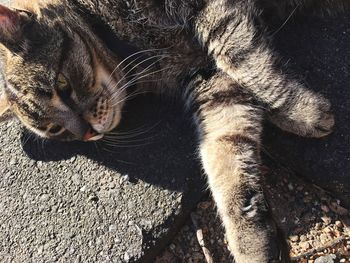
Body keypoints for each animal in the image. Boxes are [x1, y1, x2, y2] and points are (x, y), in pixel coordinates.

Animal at [0, 0, 346, 262]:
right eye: (55, 128)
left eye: (62, 86)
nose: (85, 132)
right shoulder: (210, 84)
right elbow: (227, 155)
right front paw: (251, 240)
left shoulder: (212, 14)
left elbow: (243, 59)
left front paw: (300, 111)